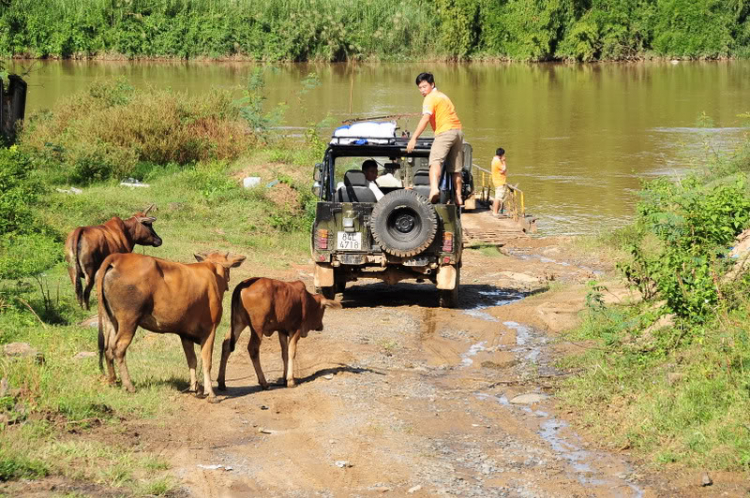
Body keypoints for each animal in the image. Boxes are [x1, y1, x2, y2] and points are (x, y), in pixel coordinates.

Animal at [97, 251, 247, 398]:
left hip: (111, 319)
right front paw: (210, 392)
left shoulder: (185, 333)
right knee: (118, 348)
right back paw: (129, 386)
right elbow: (206, 360)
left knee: (108, 349)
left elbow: (192, 360)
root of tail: (118, 257)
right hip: (129, 320)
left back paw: (113, 381)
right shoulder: (210, 328)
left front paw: (194, 388)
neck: (212, 271)